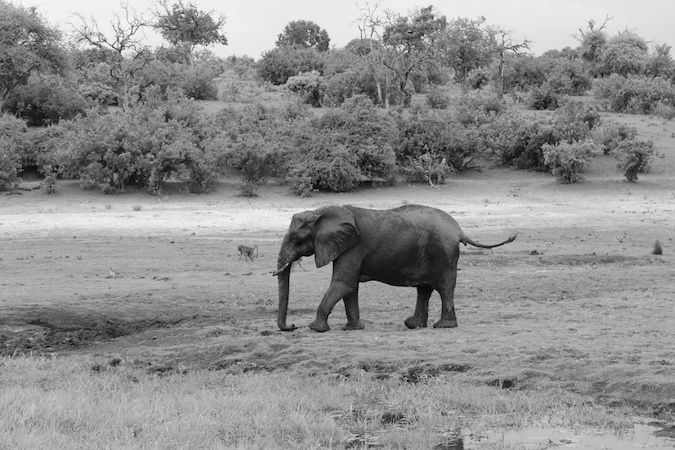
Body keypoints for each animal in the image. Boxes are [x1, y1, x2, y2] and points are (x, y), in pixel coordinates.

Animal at [274, 206, 516, 332]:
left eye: (295, 238)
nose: (292, 325)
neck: (322, 211)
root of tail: (459, 230)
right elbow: (350, 288)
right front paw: (354, 328)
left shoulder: (354, 247)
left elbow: (343, 284)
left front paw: (315, 328)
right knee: (424, 289)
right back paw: (414, 325)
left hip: (444, 253)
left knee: (445, 287)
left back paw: (443, 326)